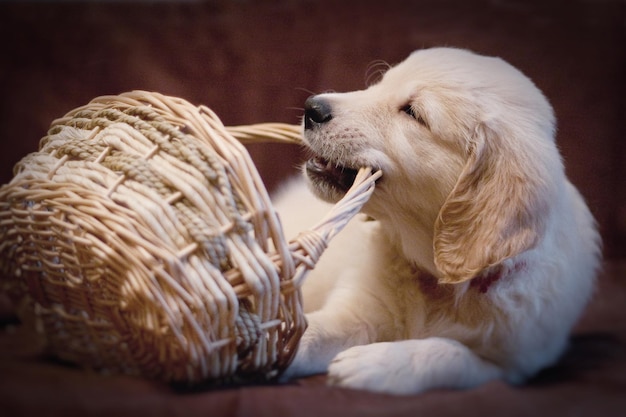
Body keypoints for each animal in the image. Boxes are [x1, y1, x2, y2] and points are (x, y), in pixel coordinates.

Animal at [272, 48, 600, 394]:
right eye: (380, 84)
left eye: (413, 112)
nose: (312, 107)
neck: (435, 280)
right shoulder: (355, 309)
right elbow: (312, 331)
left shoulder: (508, 364)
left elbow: (449, 353)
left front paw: (372, 363)